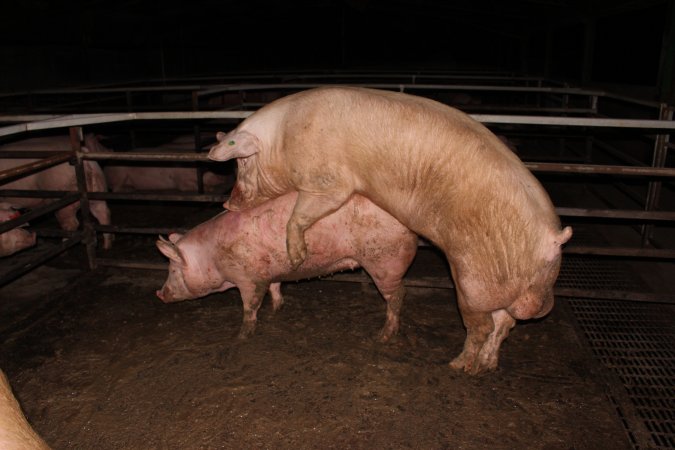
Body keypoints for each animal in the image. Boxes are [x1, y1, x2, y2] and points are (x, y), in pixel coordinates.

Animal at [157, 192, 418, 342]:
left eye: (172, 270)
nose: (159, 294)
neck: (212, 257)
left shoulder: (249, 278)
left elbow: (250, 306)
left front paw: (241, 336)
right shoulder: (270, 271)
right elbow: (275, 288)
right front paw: (277, 309)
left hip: (384, 261)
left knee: (398, 295)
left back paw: (383, 337)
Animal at [209, 86, 572, 374]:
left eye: (241, 162)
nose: (227, 203)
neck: (282, 138)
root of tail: (553, 240)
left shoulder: (327, 183)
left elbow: (301, 213)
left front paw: (297, 256)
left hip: (472, 280)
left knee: (482, 326)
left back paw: (458, 367)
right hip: (502, 288)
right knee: (504, 324)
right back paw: (486, 366)